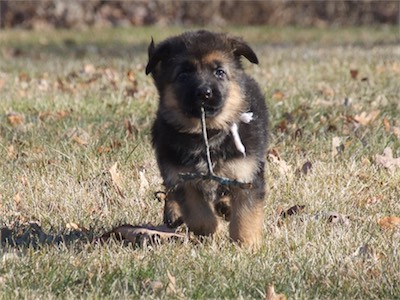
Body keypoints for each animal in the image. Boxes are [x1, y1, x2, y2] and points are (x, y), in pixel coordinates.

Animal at [145, 29, 268, 246]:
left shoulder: (247, 175)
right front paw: (213, 231)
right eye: (183, 74)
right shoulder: (183, 178)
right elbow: (199, 216)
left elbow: (246, 215)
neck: (206, 134)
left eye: (219, 72)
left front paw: (246, 244)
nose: (204, 93)